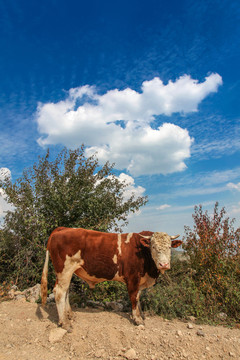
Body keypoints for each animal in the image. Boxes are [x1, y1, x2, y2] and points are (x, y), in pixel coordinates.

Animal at [40, 228, 182, 330]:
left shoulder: (140, 280)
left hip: (68, 272)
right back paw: (64, 322)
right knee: (59, 292)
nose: (164, 264)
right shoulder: (132, 278)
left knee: (65, 291)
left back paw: (69, 314)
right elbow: (134, 298)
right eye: (153, 247)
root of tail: (62, 229)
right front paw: (137, 320)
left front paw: (140, 315)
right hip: (64, 270)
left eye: (169, 247)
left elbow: (138, 297)